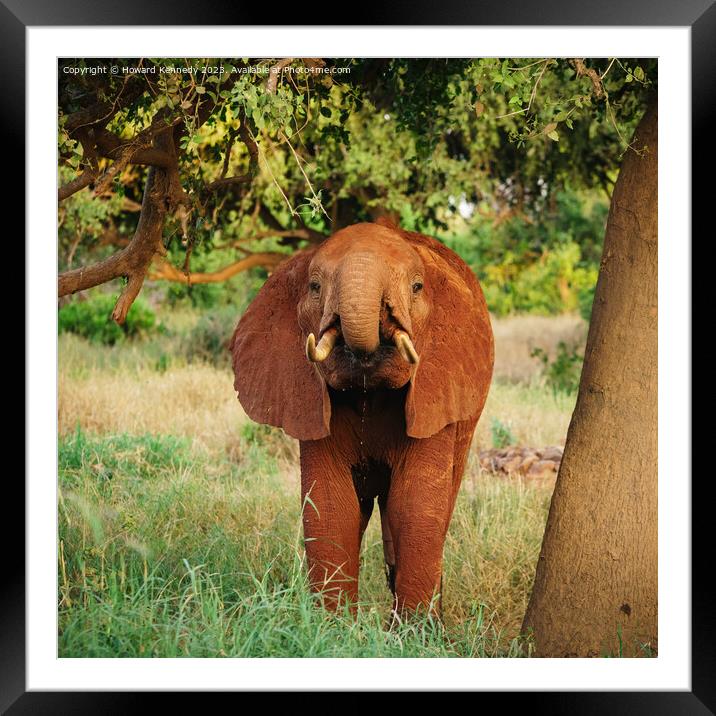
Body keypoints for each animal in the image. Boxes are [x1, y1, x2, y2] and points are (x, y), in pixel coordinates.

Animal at [232, 218, 496, 616]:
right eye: (314, 286)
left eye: (417, 287)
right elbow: (329, 506)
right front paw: (332, 625)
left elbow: (416, 505)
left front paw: (415, 631)